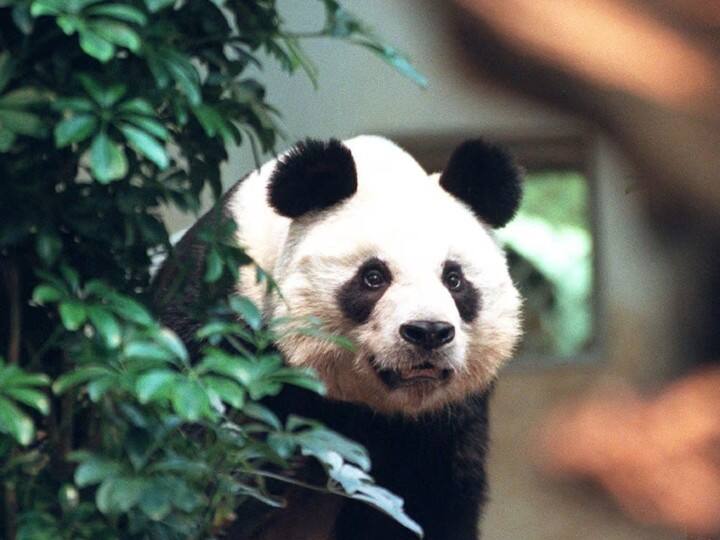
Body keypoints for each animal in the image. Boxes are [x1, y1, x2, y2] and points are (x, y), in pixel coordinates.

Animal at [155, 135, 524, 540]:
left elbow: (429, 502)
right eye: (373, 277)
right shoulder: (219, 308)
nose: (428, 332)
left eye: (454, 279)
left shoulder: (444, 421)